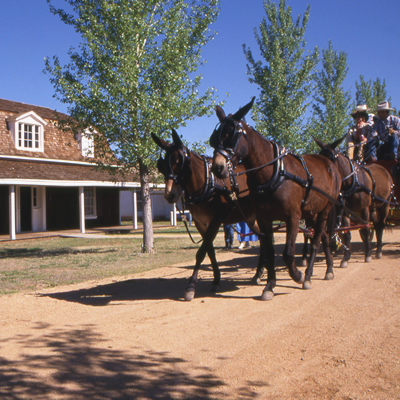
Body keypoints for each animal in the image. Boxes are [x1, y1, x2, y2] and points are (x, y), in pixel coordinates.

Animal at [152, 130, 264, 300]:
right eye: (163, 164)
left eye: (179, 162)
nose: (169, 195)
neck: (207, 184)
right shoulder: (201, 223)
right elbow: (209, 251)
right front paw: (216, 280)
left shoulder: (215, 221)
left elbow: (201, 252)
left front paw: (191, 287)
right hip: (251, 218)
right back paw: (259, 273)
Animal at [209, 97, 340, 300]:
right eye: (215, 137)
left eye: (231, 134)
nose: (218, 167)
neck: (275, 172)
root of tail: (329, 164)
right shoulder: (264, 218)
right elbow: (269, 251)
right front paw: (269, 285)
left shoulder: (293, 217)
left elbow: (288, 253)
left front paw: (297, 275)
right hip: (310, 212)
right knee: (324, 238)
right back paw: (329, 269)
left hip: (324, 211)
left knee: (316, 240)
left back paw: (308, 276)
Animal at [314, 137, 392, 266]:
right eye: (319, 156)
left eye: (331, 157)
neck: (353, 182)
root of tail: (384, 169)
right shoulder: (345, 211)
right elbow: (347, 234)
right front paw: (346, 258)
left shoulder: (364, 209)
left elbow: (365, 229)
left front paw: (367, 254)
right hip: (372, 208)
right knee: (376, 225)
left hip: (384, 205)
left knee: (380, 224)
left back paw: (379, 251)